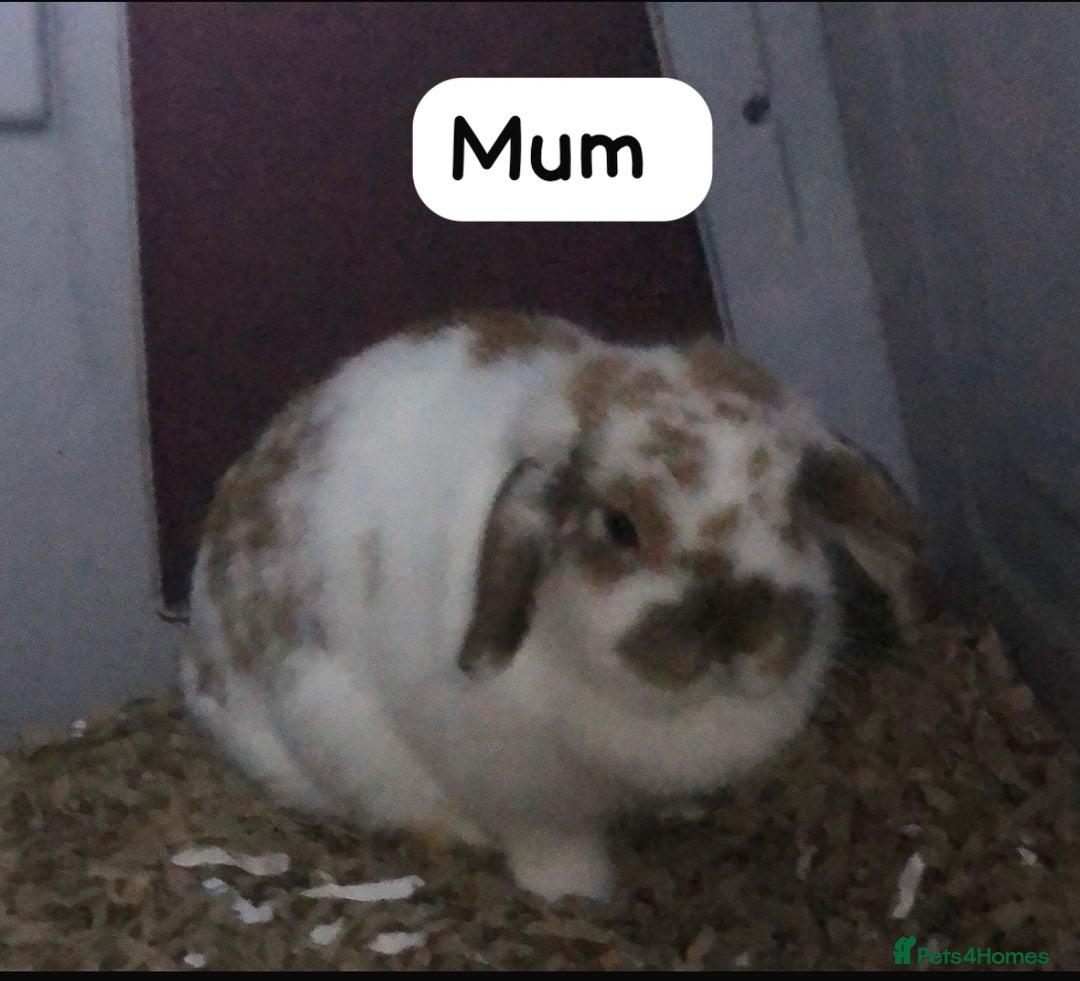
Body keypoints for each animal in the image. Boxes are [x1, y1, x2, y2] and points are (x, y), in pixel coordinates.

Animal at [183, 311, 927, 901]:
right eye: (619, 526)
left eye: (794, 511)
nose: (732, 633)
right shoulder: (527, 801)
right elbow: (553, 849)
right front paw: (579, 896)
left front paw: (683, 812)